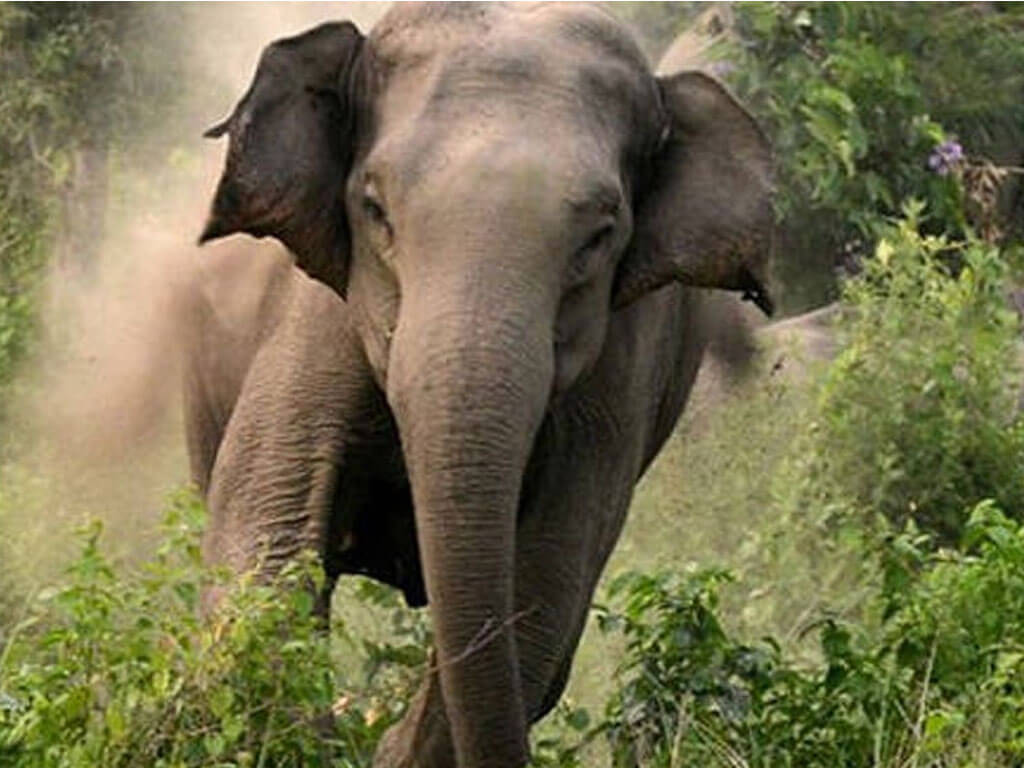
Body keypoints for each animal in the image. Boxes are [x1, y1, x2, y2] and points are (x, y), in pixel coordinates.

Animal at [193, 4, 774, 767]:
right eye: (374, 208)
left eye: (600, 236)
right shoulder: (313, 317)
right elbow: (264, 531)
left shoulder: (618, 375)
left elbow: (544, 592)